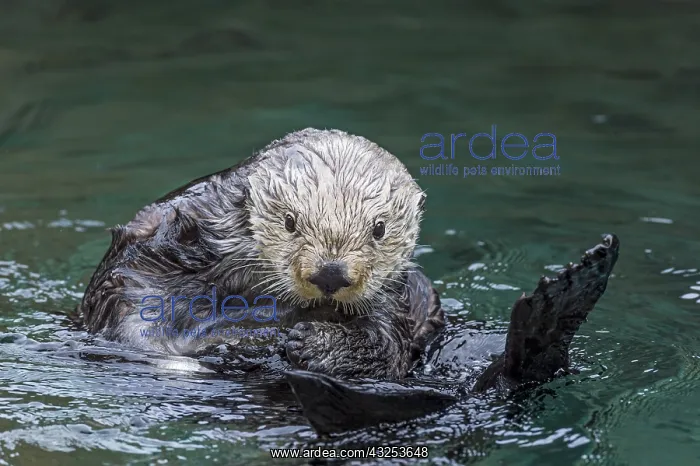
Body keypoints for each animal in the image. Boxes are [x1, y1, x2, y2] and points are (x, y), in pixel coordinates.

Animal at [78, 128, 445, 379]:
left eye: (379, 229)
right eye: (290, 222)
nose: (330, 273)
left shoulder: (397, 299)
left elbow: (389, 345)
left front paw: (313, 343)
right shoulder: (159, 248)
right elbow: (132, 301)